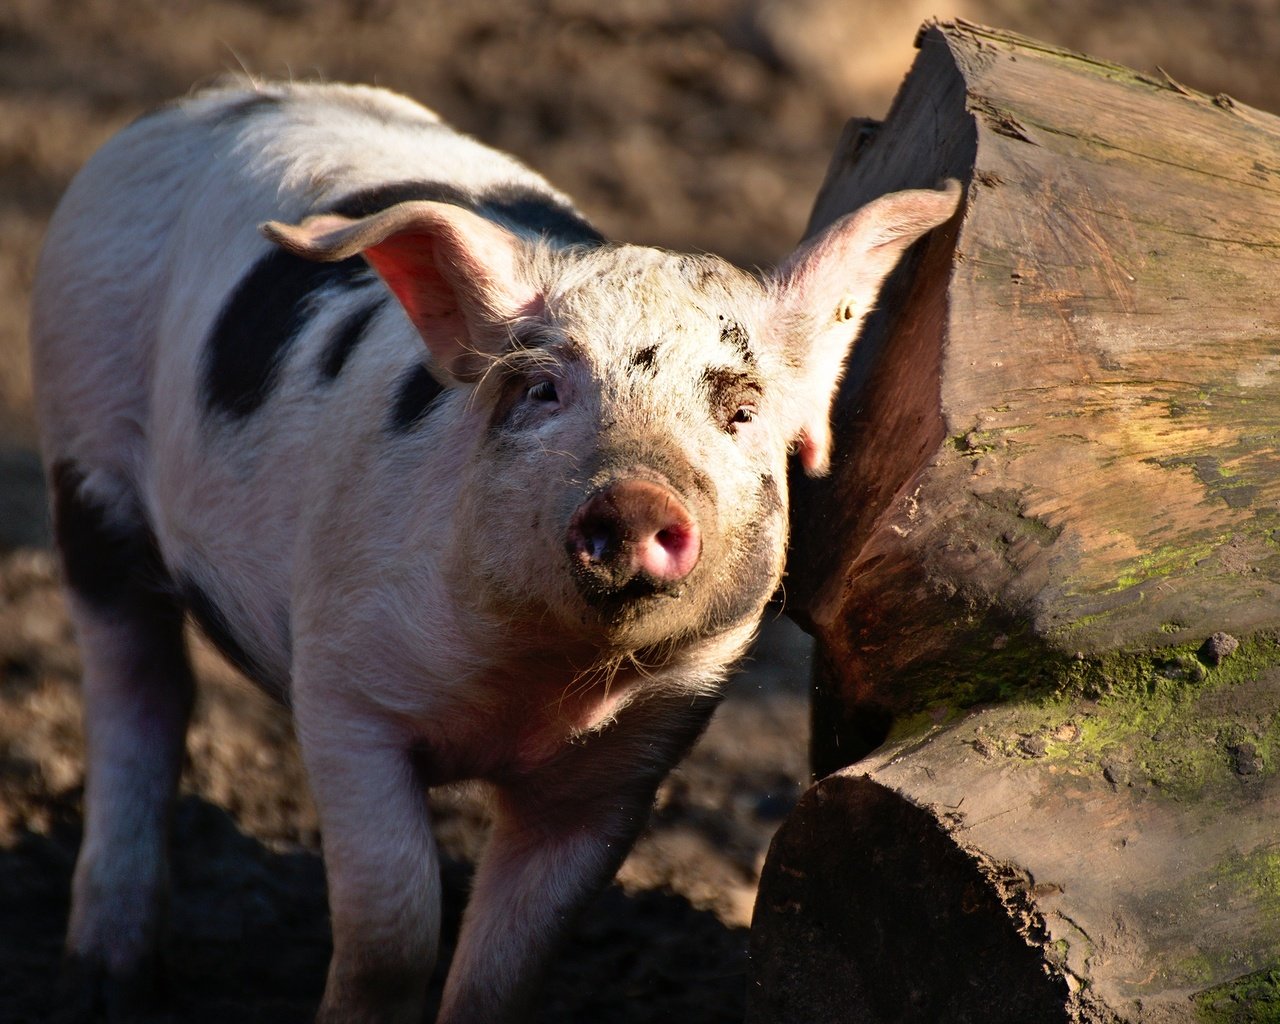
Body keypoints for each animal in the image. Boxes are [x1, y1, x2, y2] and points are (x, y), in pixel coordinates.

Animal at [27, 81, 962, 1024]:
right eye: (543, 390)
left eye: (740, 413)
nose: (636, 498)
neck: (535, 691)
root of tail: (196, 106)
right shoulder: (344, 693)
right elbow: (393, 931)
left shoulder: (626, 768)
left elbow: (505, 969)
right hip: (84, 450)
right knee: (137, 687)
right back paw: (99, 986)